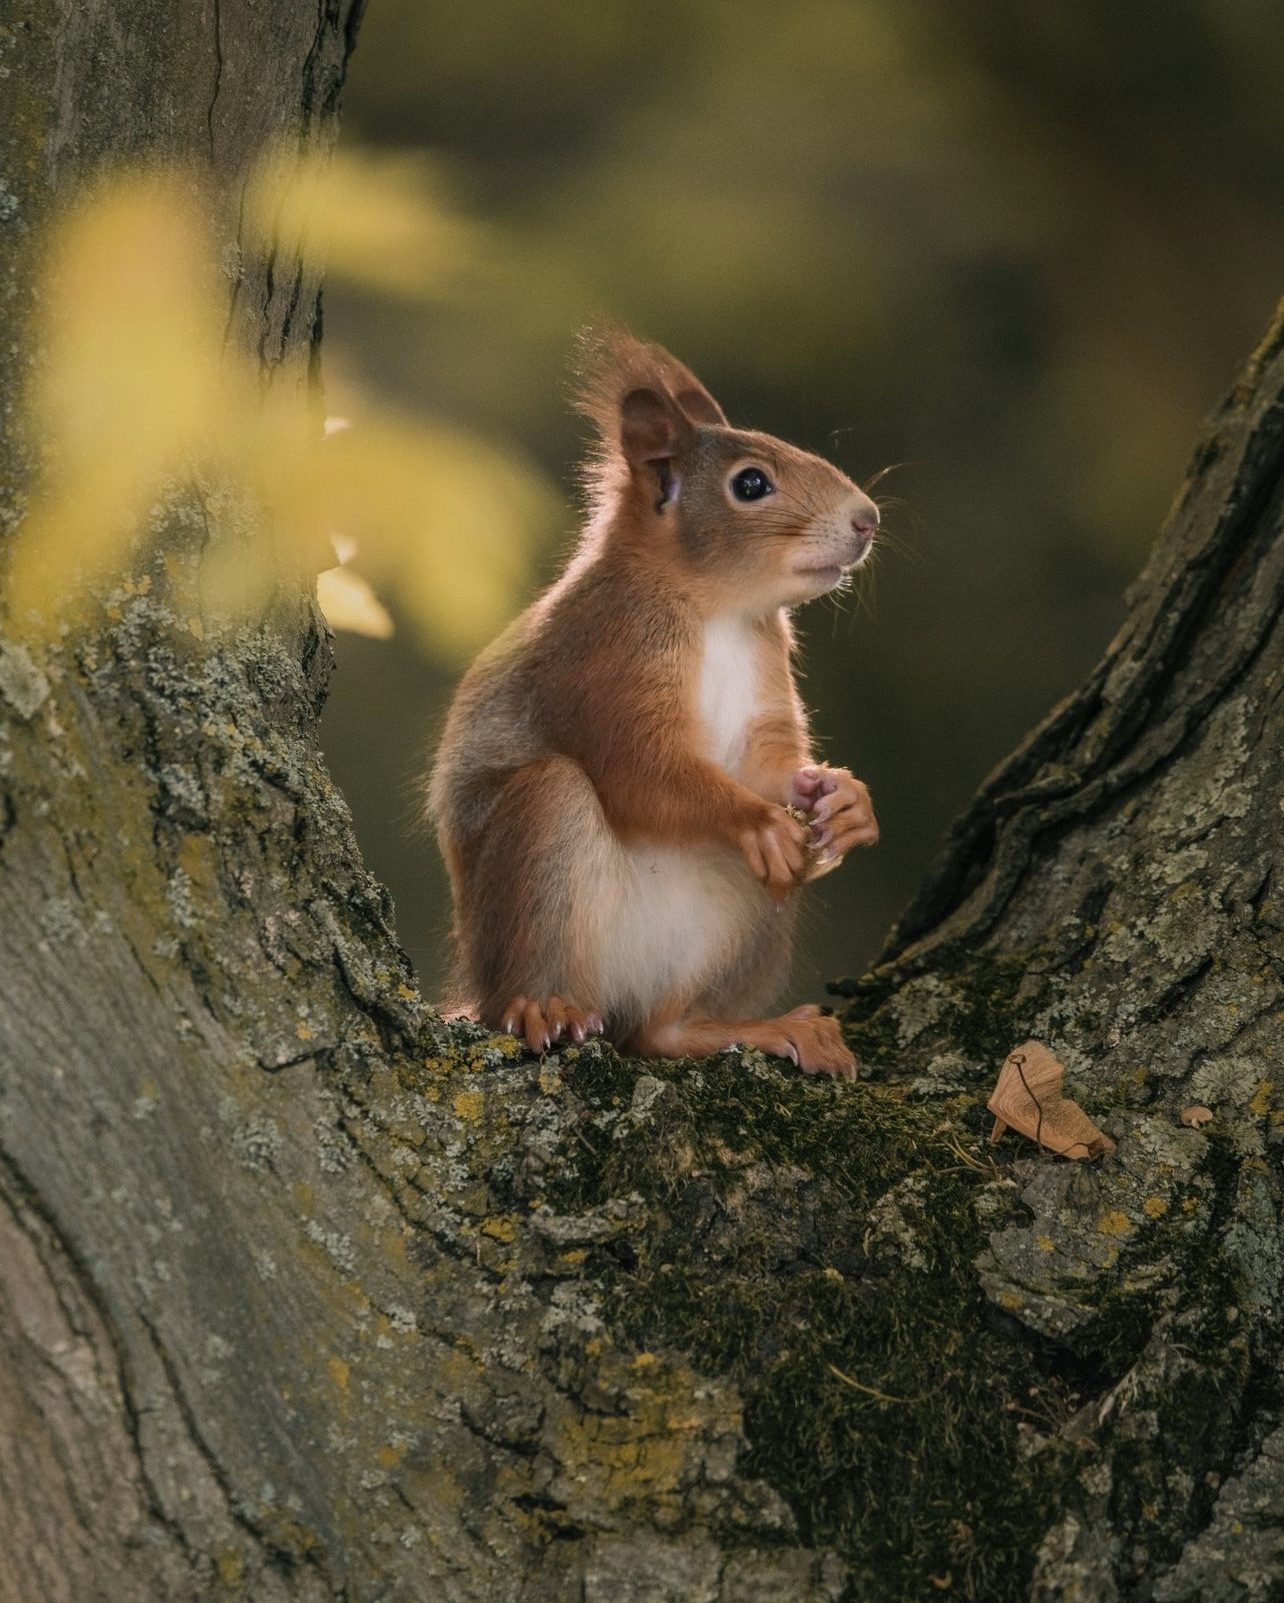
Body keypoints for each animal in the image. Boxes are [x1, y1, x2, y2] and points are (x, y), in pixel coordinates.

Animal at [428, 328, 880, 1077]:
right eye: (750, 483)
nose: (867, 519)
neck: (715, 610)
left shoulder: (765, 689)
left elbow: (772, 766)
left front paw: (844, 802)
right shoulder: (605, 659)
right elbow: (641, 769)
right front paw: (759, 821)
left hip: (739, 922)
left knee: (657, 1032)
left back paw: (757, 1026)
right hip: (538, 860)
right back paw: (543, 1007)